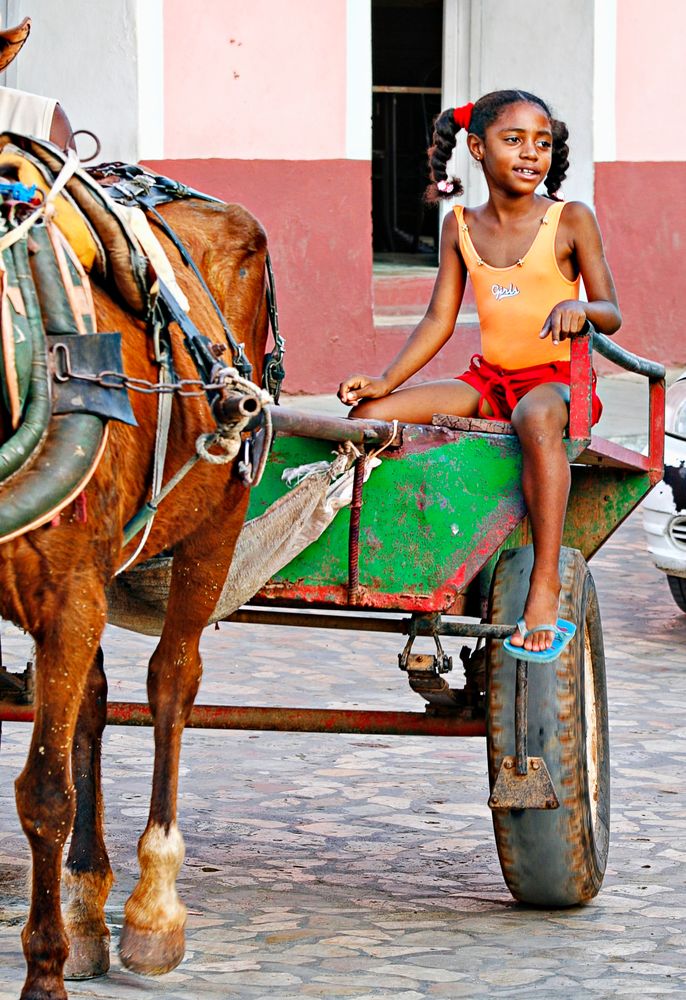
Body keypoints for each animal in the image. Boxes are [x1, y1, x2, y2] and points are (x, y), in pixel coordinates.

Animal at [0, 191, 274, 996]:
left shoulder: (70, 597)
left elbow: (45, 794)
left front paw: (44, 973)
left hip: (216, 527)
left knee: (171, 683)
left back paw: (154, 910)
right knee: (92, 700)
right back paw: (90, 909)